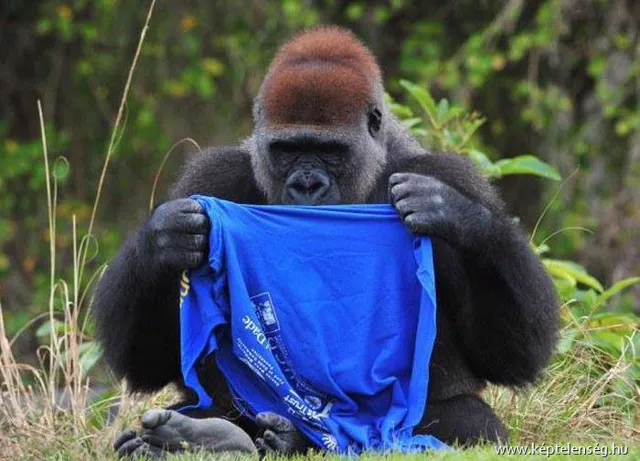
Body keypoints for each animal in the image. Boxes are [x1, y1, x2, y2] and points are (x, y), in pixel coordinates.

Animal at [93, 26, 559, 458]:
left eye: (329, 151)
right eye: (286, 150)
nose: (306, 185)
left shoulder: (450, 173)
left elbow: (507, 356)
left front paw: (458, 215)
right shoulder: (209, 177)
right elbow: (150, 360)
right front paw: (166, 237)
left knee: (473, 423)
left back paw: (256, 438)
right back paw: (202, 436)